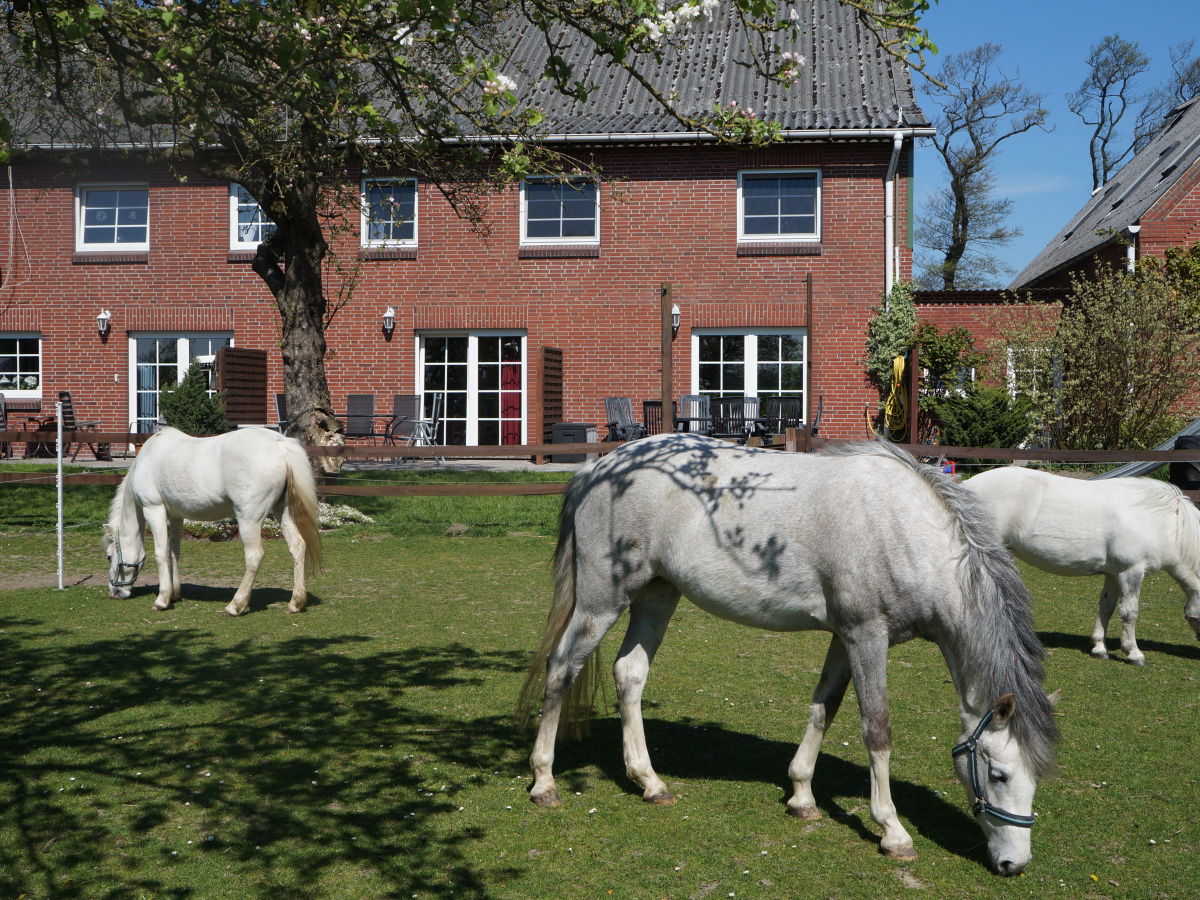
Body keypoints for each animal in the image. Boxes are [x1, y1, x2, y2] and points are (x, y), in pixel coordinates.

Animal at [103, 427, 321, 619]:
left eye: (108, 556)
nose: (114, 592)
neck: (147, 459)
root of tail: (278, 443)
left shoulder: (154, 510)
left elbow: (161, 553)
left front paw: (162, 600)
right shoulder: (176, 517)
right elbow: (174, 552)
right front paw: (174, 594)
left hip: (249, 518)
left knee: (254, 556)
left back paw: (235, 606)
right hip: (282, 511)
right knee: (297, 547)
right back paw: (295, 603)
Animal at [516, 434, 1060, 878]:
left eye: (1036, 777)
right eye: (998, 773)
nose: (1013, 864)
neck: (904, 530)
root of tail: (600, 468)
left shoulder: (844, 638)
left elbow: (824, 708)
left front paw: (801, 796)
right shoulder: (867, 637)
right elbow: (877, 729)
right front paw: (892, 831)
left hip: (656, 594)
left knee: (629, 674)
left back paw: (650, 782)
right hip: (601, 602)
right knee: (561, 669)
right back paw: (544, 782)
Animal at [964, 468, 1200, 667]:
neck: (1158, 521)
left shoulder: (1114, 575)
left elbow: (1106, 607)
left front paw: (1099, 648)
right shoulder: (1131, 572)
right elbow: (1129, 612)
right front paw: (1134, 653)